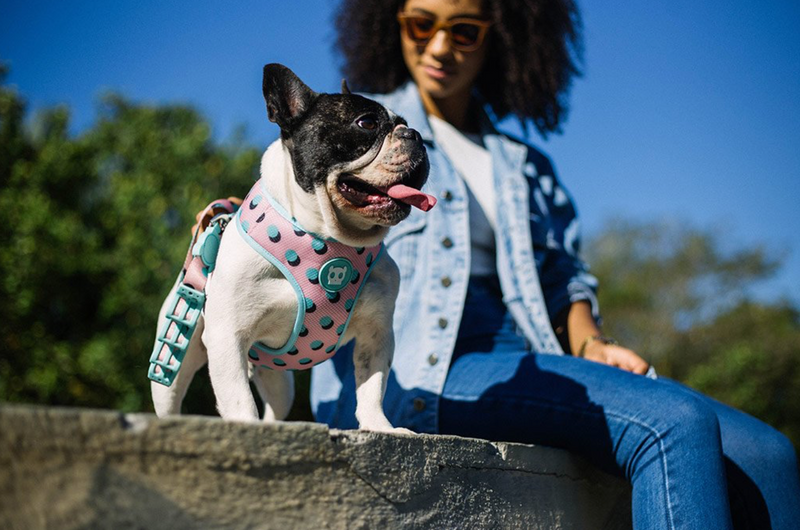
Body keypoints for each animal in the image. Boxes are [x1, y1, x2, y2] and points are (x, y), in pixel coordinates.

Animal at [147, 64, 434, 432]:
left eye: (404, 122)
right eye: (367, 123)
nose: (415, 135)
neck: (329, 240)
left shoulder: (376, 334)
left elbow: (372, 389)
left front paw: (380, 427)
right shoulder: (227, 337)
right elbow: (239, 399)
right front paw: (247, 429)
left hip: (278, 380)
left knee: (275, 405)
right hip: (175, 352)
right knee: (171, 396)